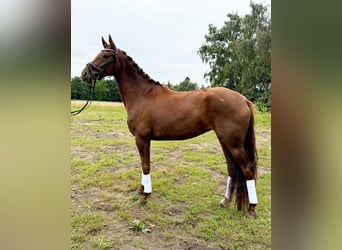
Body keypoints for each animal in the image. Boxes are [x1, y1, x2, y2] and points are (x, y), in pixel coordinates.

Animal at [81, 34, 258, 217]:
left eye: (106, 56)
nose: (84, 74)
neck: (142, 96)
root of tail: (243, 100)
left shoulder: (142, 139)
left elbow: (145, 165)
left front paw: (144, 195)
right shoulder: (143, 140)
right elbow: (143, 164)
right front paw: (141, 190)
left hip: (234, 144)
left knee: (247, 169)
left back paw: (251, 209)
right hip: (225, 141)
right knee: (232, 169)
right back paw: (225, 202)